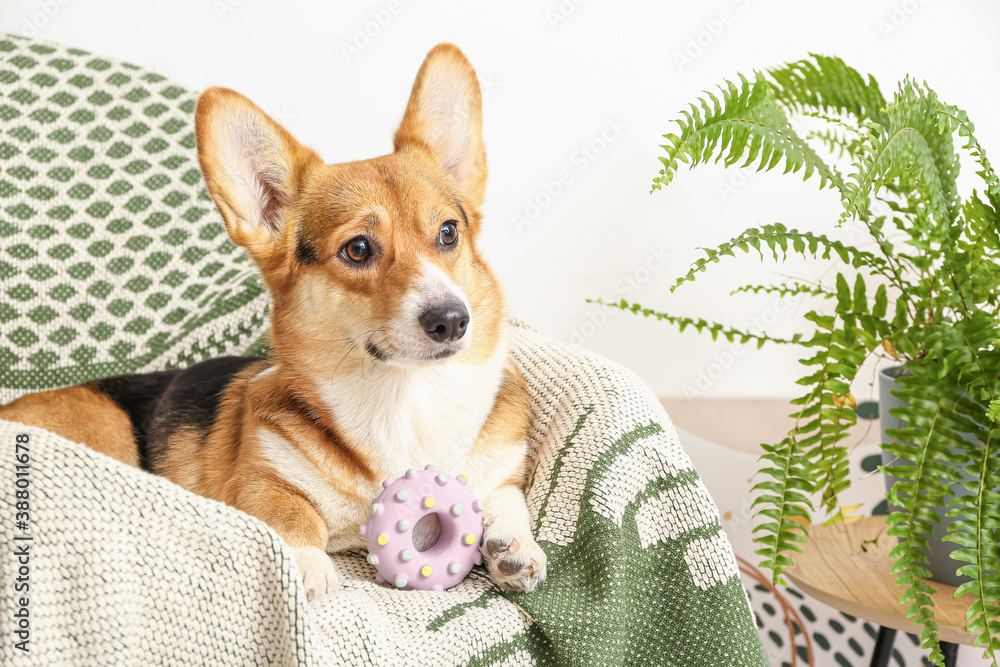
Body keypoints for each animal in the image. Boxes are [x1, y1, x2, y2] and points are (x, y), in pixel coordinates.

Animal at [0, 44, 548, 604]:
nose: (452, 320)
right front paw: (306, 569)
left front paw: (512, 545)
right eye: (358, 249)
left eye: (448, 232)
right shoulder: (260, 480)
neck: (405, 400)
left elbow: (505, 498)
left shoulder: (500, 470)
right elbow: (291, 517)